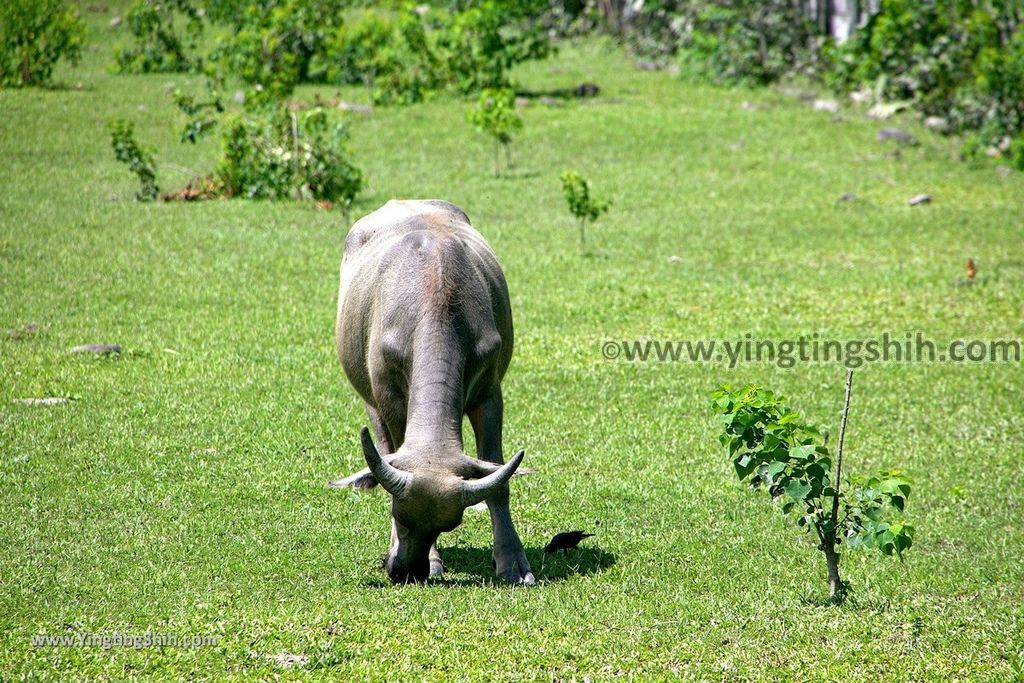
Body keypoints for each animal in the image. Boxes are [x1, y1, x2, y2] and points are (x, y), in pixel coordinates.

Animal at [331, 200, 536, 585]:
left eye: (449, 524)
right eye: (399, 514)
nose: (406, 571)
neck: (437, 293)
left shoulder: (489, 394)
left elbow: (497, 477)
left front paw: (513, 562)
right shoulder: (391, 399)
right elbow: (393, 452)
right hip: (369, 399)